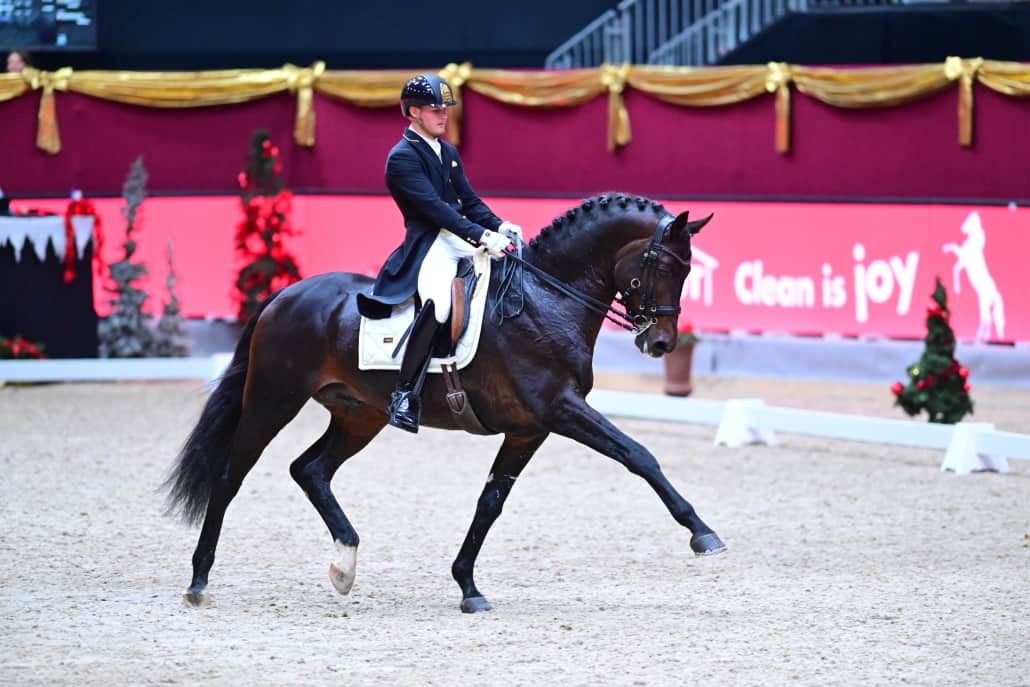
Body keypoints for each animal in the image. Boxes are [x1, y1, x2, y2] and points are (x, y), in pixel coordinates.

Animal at [164, 193, 725, 613]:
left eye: (688, 270)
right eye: (662, 265)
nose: (661, 343)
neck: (546, 300)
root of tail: (285, 294)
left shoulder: (530, 428)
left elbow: (491, 502)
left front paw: (468, 587)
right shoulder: (560, 410)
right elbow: (638, 455)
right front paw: (703, 533)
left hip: (360, 414)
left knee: (310, 469)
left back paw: (345, 564)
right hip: (272, 399)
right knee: (230, 475)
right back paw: (198, 581)